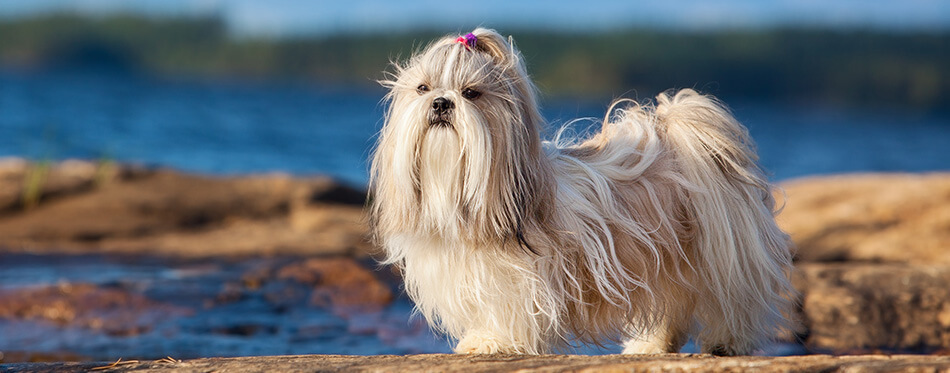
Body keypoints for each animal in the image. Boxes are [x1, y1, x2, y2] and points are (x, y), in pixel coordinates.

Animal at [370, 27, 796, 354]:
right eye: (423, 88)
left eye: (472, 92)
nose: (442, 102)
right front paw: (483, 338)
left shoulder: (522, 281)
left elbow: (509, 311)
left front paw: (494, 341)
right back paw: (650, 345)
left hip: (724, 255)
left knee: (735, 301)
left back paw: (729, 342)